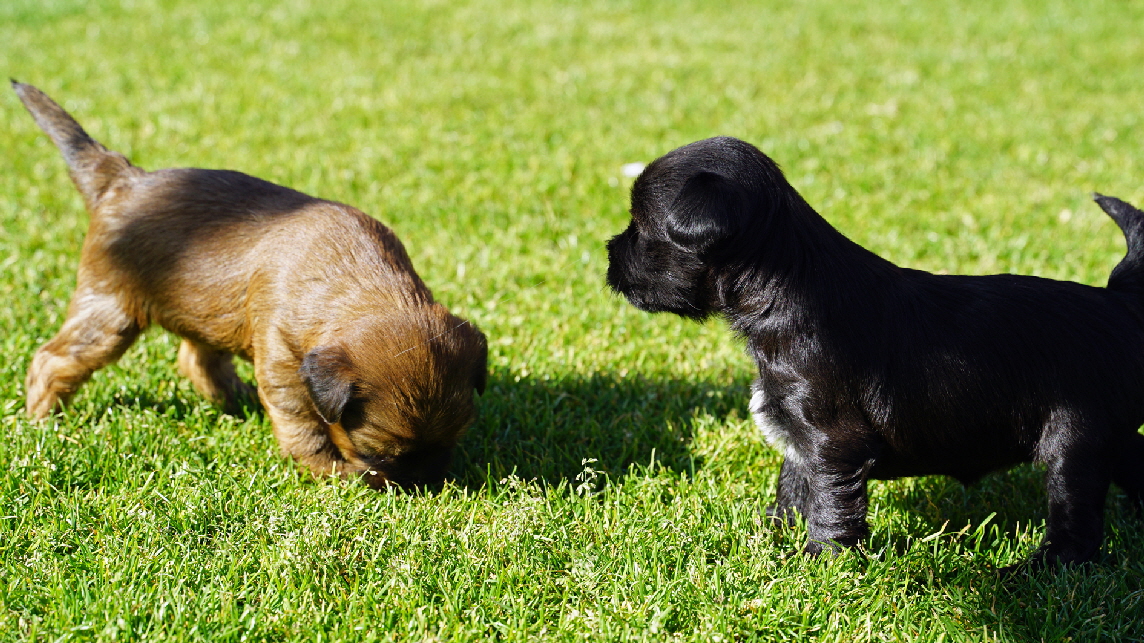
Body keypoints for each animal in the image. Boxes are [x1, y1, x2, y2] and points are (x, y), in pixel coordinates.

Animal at [14, 81, 487, 489]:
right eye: (381, 454)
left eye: (455, 437)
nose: (426, 482)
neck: (358, 282)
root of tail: (123, 179)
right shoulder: (282, 366)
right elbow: (304, 426)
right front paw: (329, 470)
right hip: (109, 309)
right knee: (53, 360)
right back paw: (42, 422)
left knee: (196, 359)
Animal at [613, 135, 1144, 565]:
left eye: (641, 227)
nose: (608, 252)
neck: (784, 284)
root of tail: (1119, 303)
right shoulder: (801, 435)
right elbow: (794, 484)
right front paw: (772, 535)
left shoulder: (832, 440)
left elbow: (828, 503)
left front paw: (821, 563)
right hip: (1109, 435)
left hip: (1074, 440)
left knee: (1075, 525)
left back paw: (1035, 571)